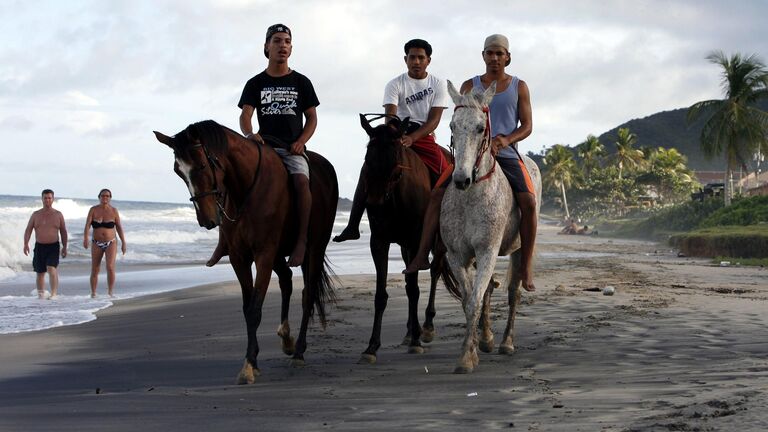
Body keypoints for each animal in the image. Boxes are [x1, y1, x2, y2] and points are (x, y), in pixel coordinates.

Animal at [154, 120, 338, 384]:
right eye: (178, 171)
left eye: (201, 165)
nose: (206, 220)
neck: (245, 187)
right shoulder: (239, 257)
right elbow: (246, 308)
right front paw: (254, 360)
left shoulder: (264, 253)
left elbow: (254, 309)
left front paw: (249, 365)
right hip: (279, 254)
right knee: (286, 280)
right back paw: (287, 339)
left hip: (313, 249)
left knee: (308, 294)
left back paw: (299, 352)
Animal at [358, 114, 460, 364]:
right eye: (368, 158)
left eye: (395, 159)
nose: (374, 204)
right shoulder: (379, 242)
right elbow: (382, 294)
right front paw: (372, 346)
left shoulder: (416, 241)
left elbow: (414, 289)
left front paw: (416, 341)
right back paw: (409, 330)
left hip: (438, 242)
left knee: (435, 270)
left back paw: (426, 327)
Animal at [440, 79, 544, 372]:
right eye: (452, 126)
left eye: (479, 127)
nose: (461, 179)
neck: (471, 197)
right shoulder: (457, 256)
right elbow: (469, 300)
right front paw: (475, 346)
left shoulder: (487, 250)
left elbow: (475, 299)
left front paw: (466, 357)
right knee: (489, 288)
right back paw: (486, 339)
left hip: (519, 249)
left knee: (513, 293)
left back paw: (507, 342)